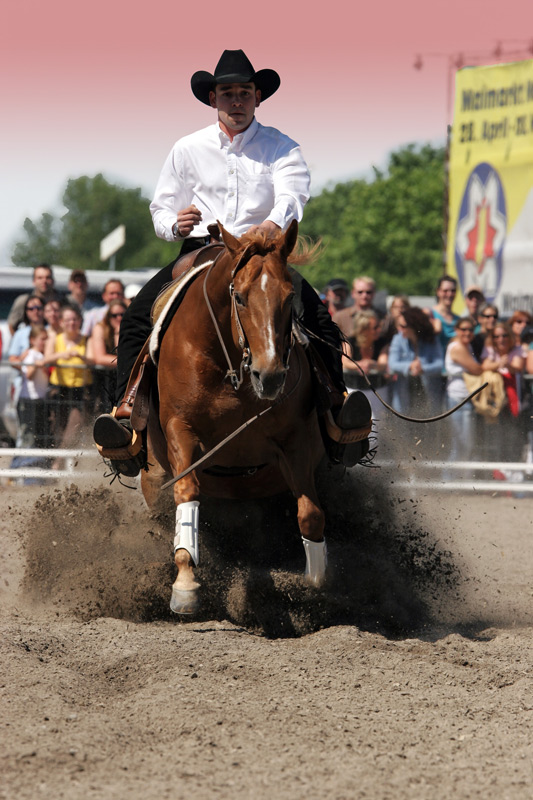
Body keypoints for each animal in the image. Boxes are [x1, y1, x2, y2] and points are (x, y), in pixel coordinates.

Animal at [139, 219, 326, 612]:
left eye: (290, 297)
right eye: (239, 297)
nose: (270, 375)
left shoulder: (296, 440)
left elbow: (310, 514)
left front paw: (314, 585)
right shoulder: (181, 429)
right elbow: (187, 491)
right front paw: (185, 582)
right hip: (153, 475)